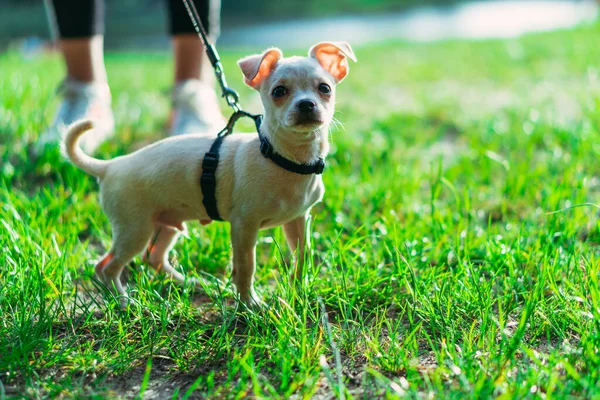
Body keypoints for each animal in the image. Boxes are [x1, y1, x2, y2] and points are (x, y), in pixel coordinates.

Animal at [65, 41, 356, 306]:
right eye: (279, 91)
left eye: (325, 88)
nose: (306, 104)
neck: (284, 158)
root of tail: (110, 166)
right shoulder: (243, 226)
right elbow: (245, 267)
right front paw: (250, 305)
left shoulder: (297, 220)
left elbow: (302, 256)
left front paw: (299, 291)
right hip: (135, 229)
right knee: (107, 266)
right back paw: (124, 302)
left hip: (165, 223)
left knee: (152, 257)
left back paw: (188, 283)